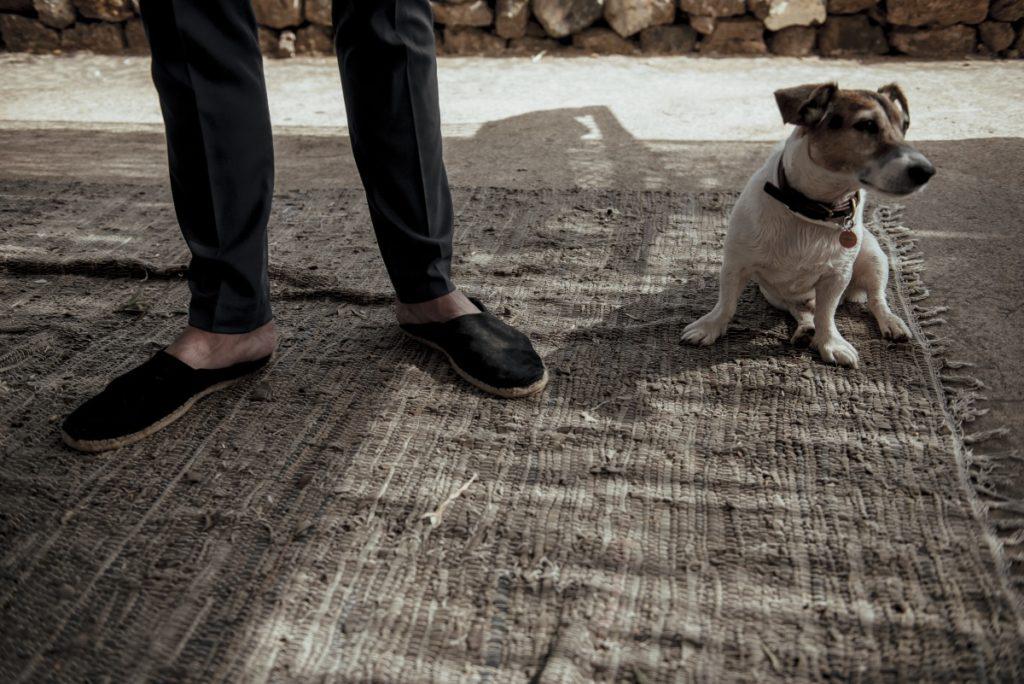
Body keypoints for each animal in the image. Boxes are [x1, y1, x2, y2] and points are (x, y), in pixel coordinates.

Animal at [679, 83, 937, 368]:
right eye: (867, 125)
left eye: (905, 126)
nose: (927, 171)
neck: (812, 210)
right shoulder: (736, 265)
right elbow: (726, 304)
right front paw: (710, 327)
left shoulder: (837, 276)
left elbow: (827, 316)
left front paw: (830, 344)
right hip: (776, 295)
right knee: (803, 311)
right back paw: (805, 330)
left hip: (874, 260)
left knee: (876, 300)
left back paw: (891, 322)